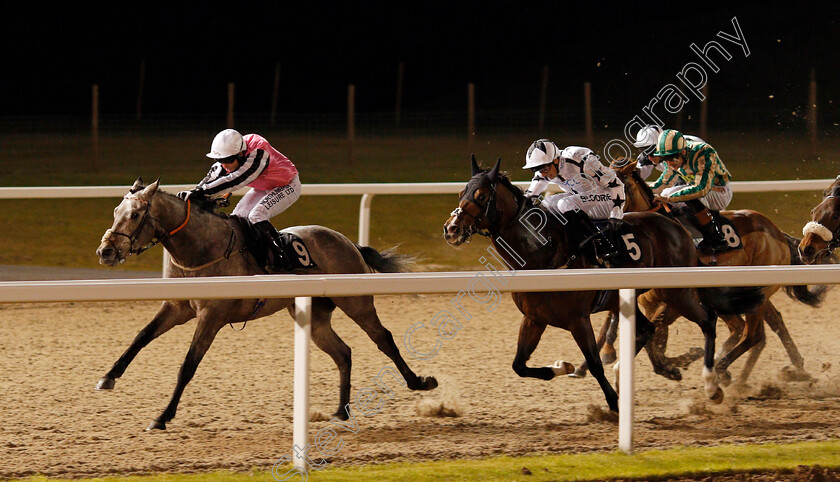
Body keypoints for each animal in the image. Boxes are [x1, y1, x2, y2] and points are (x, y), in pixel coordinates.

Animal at [97, 179, 440, 432]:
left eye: (134, 215)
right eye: (114, 210)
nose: (105, 251)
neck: (201, 247)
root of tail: (348, 242)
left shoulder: (212, 315)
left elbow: (188, 365)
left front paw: (162, 417)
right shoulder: (176, 306)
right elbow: (140, 337)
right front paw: (109, 376)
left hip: (356, 302)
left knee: (383, 338)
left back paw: (419, 382)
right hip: (315, 314)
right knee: (343, 352)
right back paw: (341, 411)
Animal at [442, 155, 764, 410]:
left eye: (482, 195)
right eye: (461, 191)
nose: (451, 229)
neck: (543, 252)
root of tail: (677, 227)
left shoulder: (578, 317)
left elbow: (596, 363)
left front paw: (613, 404)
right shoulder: (535, 318)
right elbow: (519, 365)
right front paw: (563, 367)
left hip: (676, 291)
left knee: (707, 321)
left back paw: (711, 384)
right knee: (647, 330)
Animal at [592, 164, 832, 386]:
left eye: (617, 188)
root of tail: (777, 232)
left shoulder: (677, 300)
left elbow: (655, 331)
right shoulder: (649, 300)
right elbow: (655, 337)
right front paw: (671, 364)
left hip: (756, 290)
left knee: (752, 333)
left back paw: (726, 371)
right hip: (750, 292)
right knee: (769, 324)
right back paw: (793, 369)